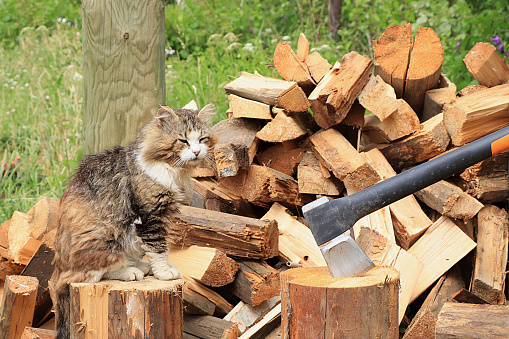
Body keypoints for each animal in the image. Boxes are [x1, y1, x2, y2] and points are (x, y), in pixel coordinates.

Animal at [49, 104, 218, 339]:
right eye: (183, 140)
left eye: (202, 139)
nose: (196, 152)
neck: (172, 169)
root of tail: (59, 267)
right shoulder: (150, 216)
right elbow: (159, 249)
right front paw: (164, 273)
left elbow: (161, 250)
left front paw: (162, 268)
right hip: (105, 236)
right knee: (91, 275)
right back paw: (131, 272)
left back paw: (139, 266)